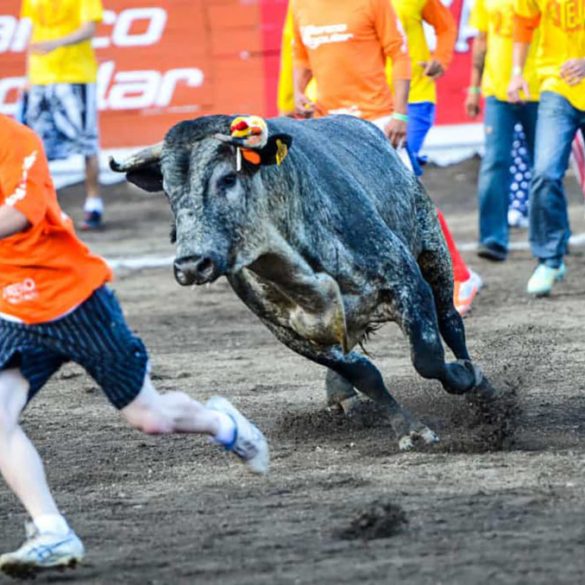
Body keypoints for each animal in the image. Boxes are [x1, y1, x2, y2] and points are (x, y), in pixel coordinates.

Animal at [110, 114, 500, 450]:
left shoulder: (407, 281)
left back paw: (480, 385)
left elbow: (428, 357)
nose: (191, 265)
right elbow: (364, 373)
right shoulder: (288, 332)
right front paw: (409, 429)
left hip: (432, 250)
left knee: (450, 322)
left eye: (227, 179)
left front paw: (465, 378)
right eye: (167, 191)